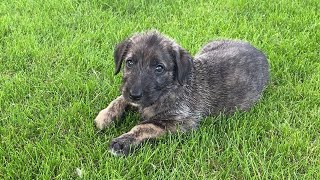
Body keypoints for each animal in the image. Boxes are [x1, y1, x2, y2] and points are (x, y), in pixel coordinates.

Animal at [94, 30, 268, 155]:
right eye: (129, 62)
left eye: (159, 68)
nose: (134, 94)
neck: (168, 89)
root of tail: (259, 52)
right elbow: (120, 99)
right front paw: (105, 116)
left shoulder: (180, 123)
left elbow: (144, 127)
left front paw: (123, 142)